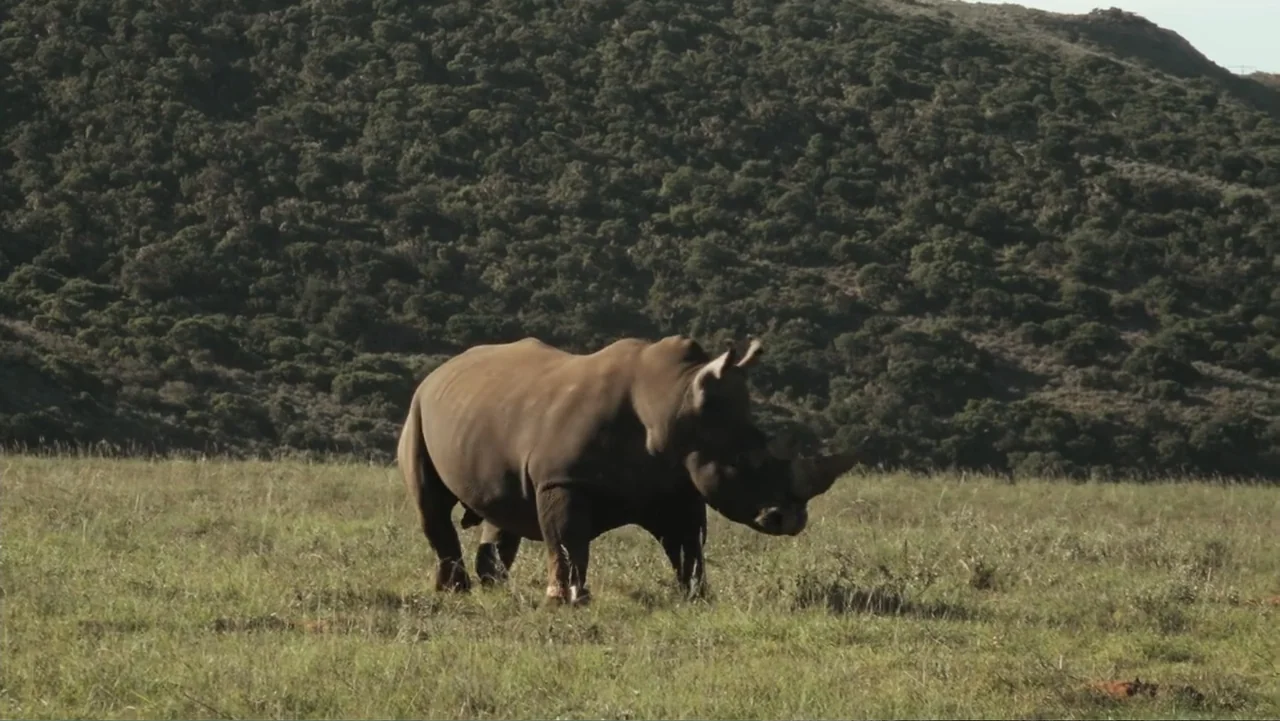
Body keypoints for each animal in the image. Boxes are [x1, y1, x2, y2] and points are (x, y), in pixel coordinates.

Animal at [396, 334, 856, 606]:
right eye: (746, 464)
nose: (791, 520)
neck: (673, 401)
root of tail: (439, 372)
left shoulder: (677, 485)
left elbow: (688, 543)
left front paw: (695, 596)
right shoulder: (563, 479)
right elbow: (567, 538)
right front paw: (566, 599)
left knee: (501, 506)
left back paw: (494, 589)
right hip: (417, 408)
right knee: (431, 504)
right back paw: (455, 592)